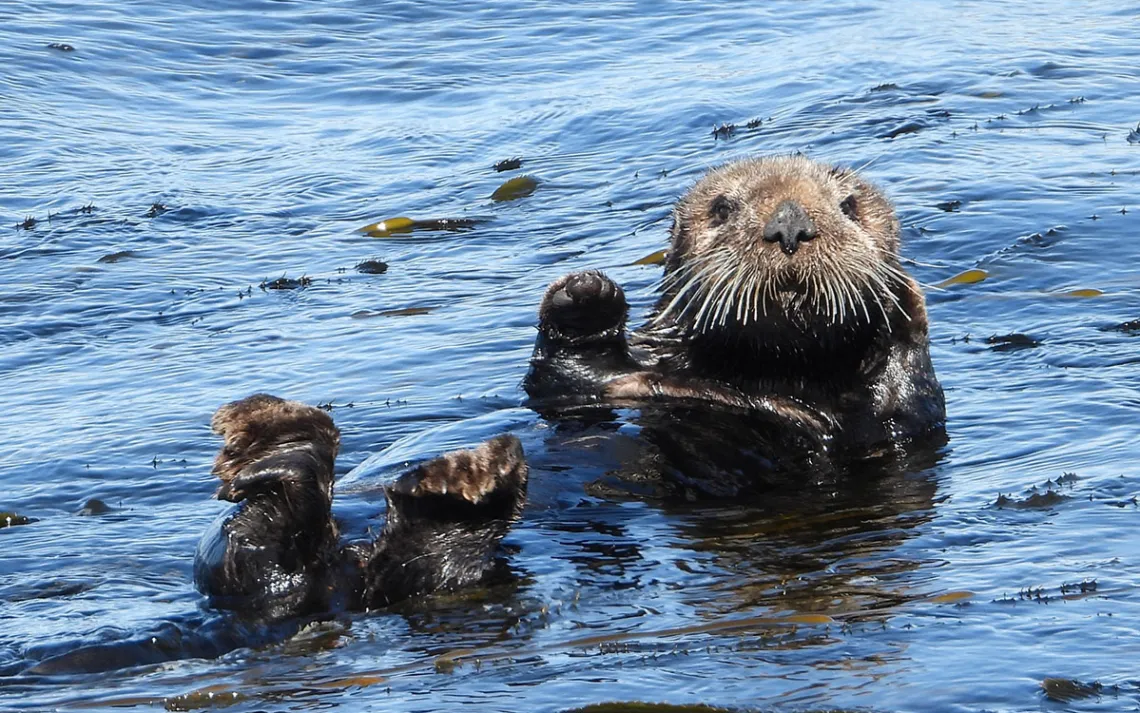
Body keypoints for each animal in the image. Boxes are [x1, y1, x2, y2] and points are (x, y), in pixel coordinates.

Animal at [525, 155, 945, 483]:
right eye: (722, 208)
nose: (789, 225)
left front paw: (903, 298)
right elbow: (558, 380)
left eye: (849, 205)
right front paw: (585, 295)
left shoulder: (893, 426)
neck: (776, 376)